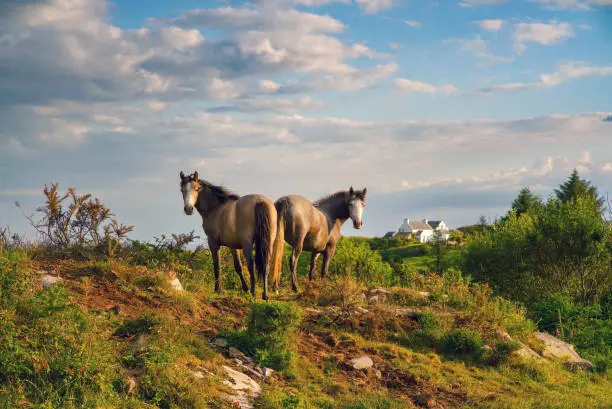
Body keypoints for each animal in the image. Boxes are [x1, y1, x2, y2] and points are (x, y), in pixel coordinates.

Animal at [179, 170, 278, 300]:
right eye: (182, 190)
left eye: (196, 188)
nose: (188, 209)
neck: (215, 208)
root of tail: (260, 201)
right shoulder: (233, 245)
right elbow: (238, 267)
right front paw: (245, 289)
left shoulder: (213, 242)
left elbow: (217, 265)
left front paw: (218, 289)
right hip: (269, 242)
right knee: (266, 263)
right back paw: (264, 295)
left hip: (247, 243)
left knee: (251, 264)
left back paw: (253, 293)